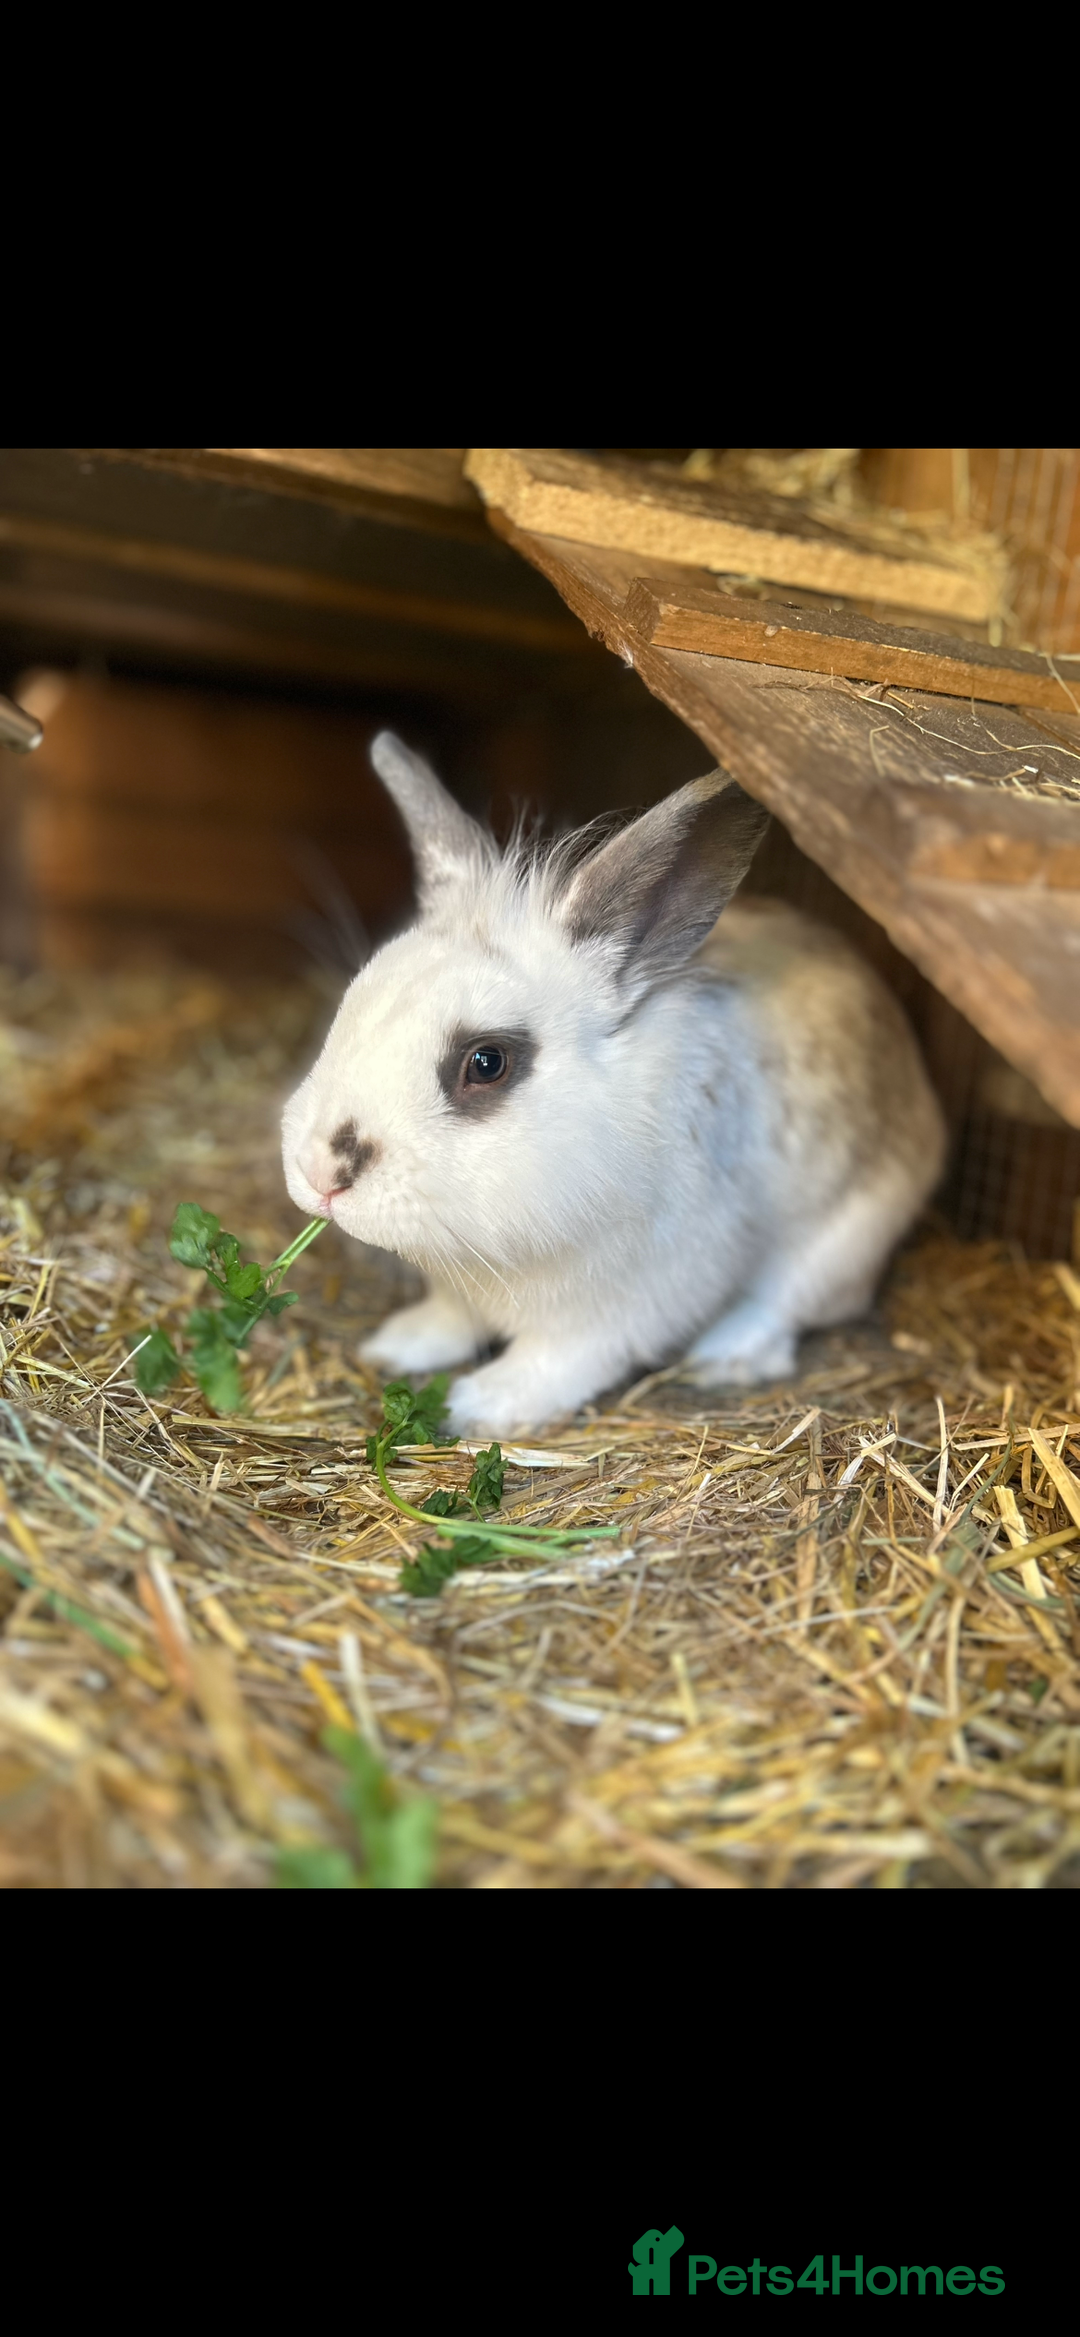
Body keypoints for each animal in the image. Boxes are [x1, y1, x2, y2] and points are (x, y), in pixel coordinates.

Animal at [281, 732, 946, 1435]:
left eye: (486, 1062)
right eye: (352, 1002)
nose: (321, 1171)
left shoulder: (630, 1300)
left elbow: (565, 1360)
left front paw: (479, 1405)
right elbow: (449, 1320)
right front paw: (396, 1345)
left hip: (845, 1239)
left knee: (794, 1304)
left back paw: (726, 1355)